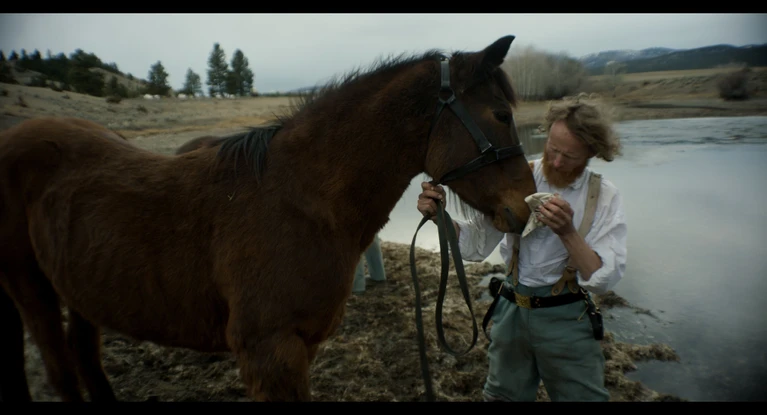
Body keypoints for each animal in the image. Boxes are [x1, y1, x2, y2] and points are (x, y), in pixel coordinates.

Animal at [0, 36, 536, 404]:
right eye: (501, 114)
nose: (526, 207)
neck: (299, 199)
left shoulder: (300, 347)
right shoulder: (269, 353)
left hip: (79, 288)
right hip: (32, 289)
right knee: (61, 370)